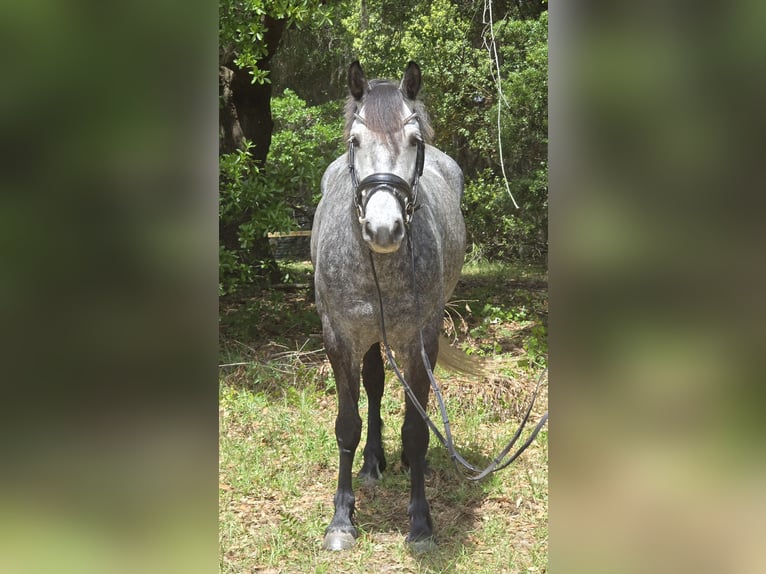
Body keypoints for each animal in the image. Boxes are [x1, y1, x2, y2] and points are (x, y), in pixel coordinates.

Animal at [311, 60, 466, 551]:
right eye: (355, 142)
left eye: (414, 140)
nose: (384, 229)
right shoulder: (339, 339)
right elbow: (347, 423)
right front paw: (342, 519)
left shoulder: (420, 339)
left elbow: (416, 429)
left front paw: (420, 522)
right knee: (376, 384)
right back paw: (372, 462)